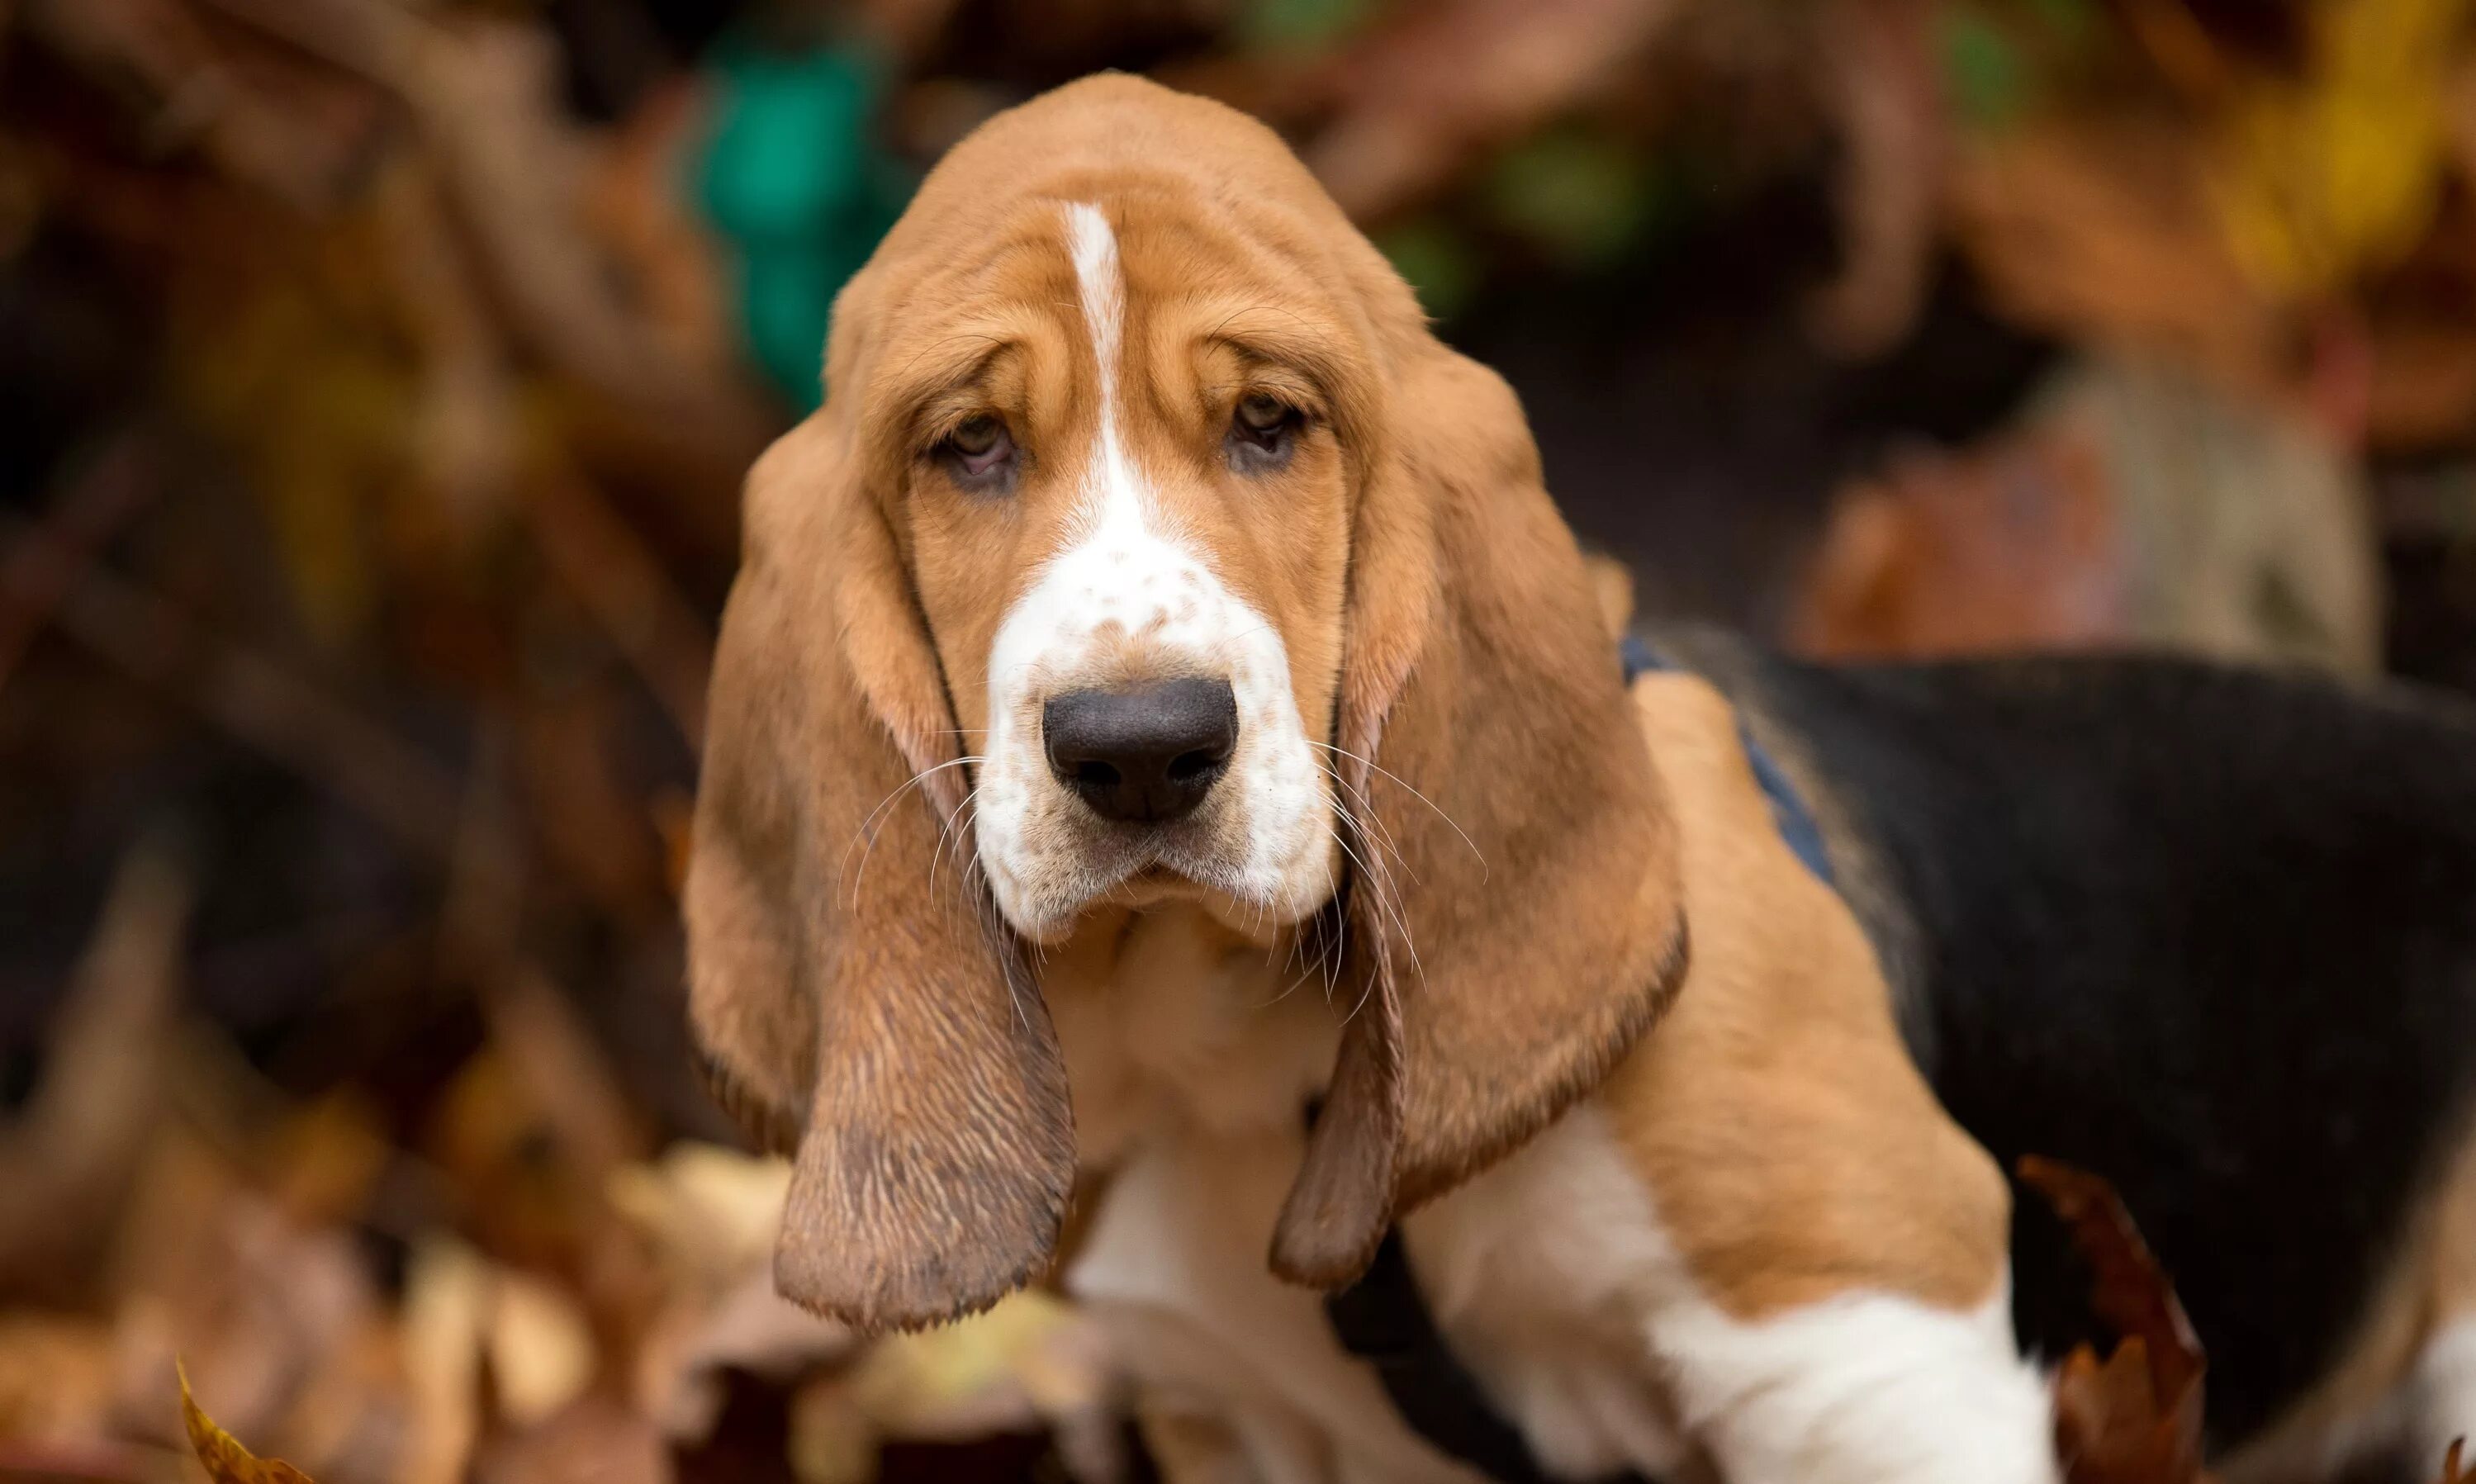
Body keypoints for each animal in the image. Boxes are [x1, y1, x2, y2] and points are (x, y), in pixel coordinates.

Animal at [688, 78, 2476, 1484]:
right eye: (968, 448)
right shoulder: (1240, 1422)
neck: (1233, 1070)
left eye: (1271, 424)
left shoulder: (1856, 1333)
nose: (1140, 747)